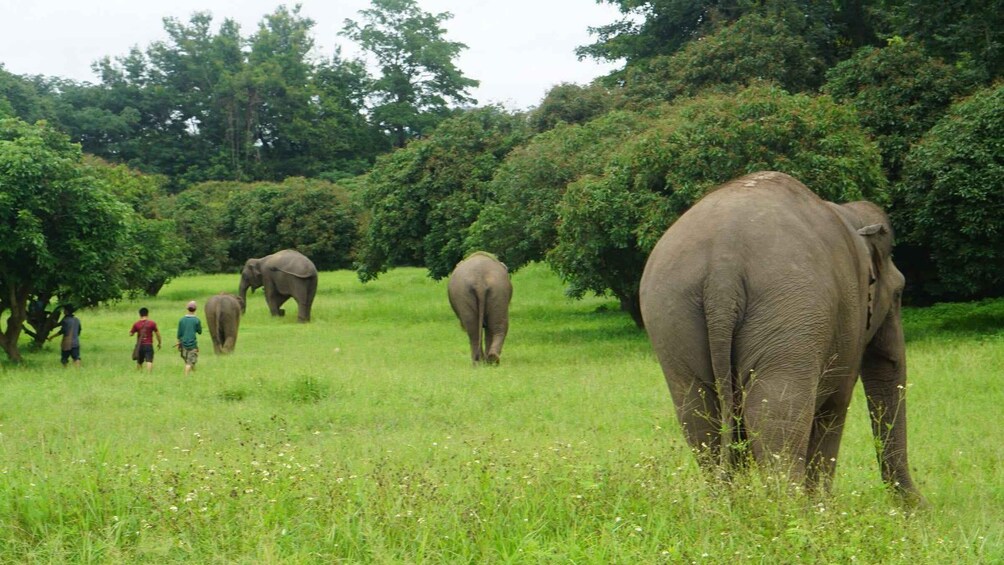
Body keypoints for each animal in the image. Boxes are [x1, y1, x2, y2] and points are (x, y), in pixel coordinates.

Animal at [639, 171, 923, 504]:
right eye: (899, 293)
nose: (921, 509)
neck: (847, 212)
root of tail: (722, 267)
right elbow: (835, 405)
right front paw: (821, 508)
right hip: (790, 312)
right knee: (776, 413)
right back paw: (788, 510)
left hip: (670, 313)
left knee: (699, 413)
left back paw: (730, 505)